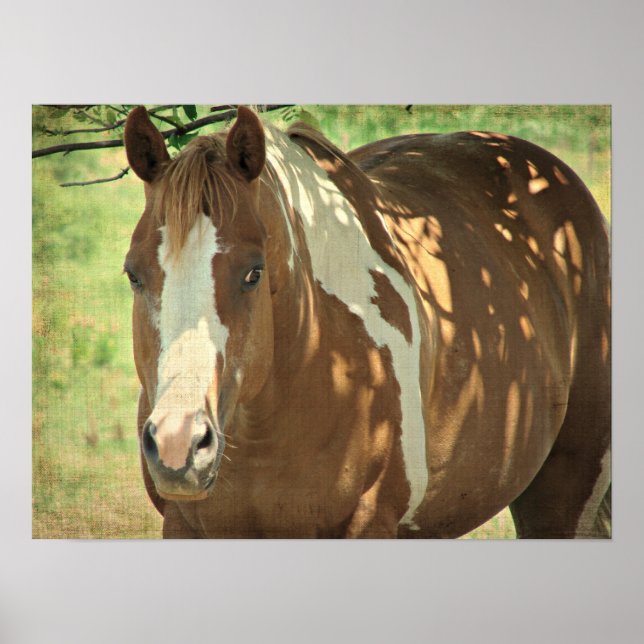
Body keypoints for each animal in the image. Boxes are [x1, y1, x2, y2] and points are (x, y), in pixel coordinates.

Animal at [123, 106, 611, 538]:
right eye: (133, 274)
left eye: (253, 273)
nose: (178, 445)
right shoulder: (184, 525)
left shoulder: (368, 522)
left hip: (565, 494)